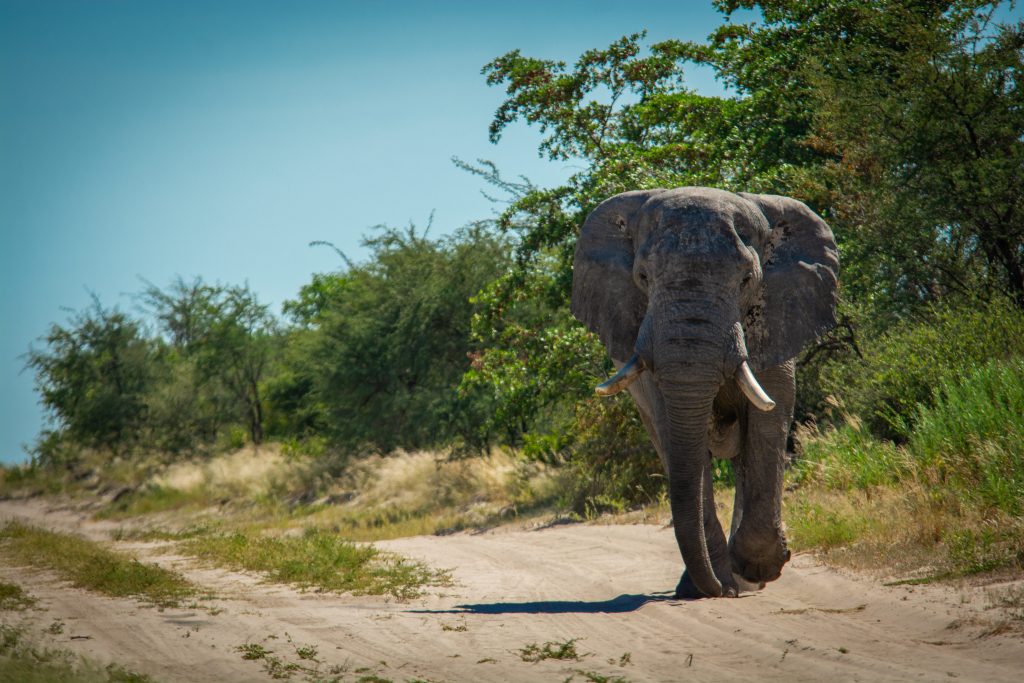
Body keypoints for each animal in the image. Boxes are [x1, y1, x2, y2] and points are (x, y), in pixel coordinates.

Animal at [571, 187, 838, 598]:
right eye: (642, 276)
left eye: (747, 279)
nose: (717, 589)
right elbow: (677, 438)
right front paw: (719, 584)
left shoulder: (777, 320)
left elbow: (770, 419)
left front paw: (756, 568)